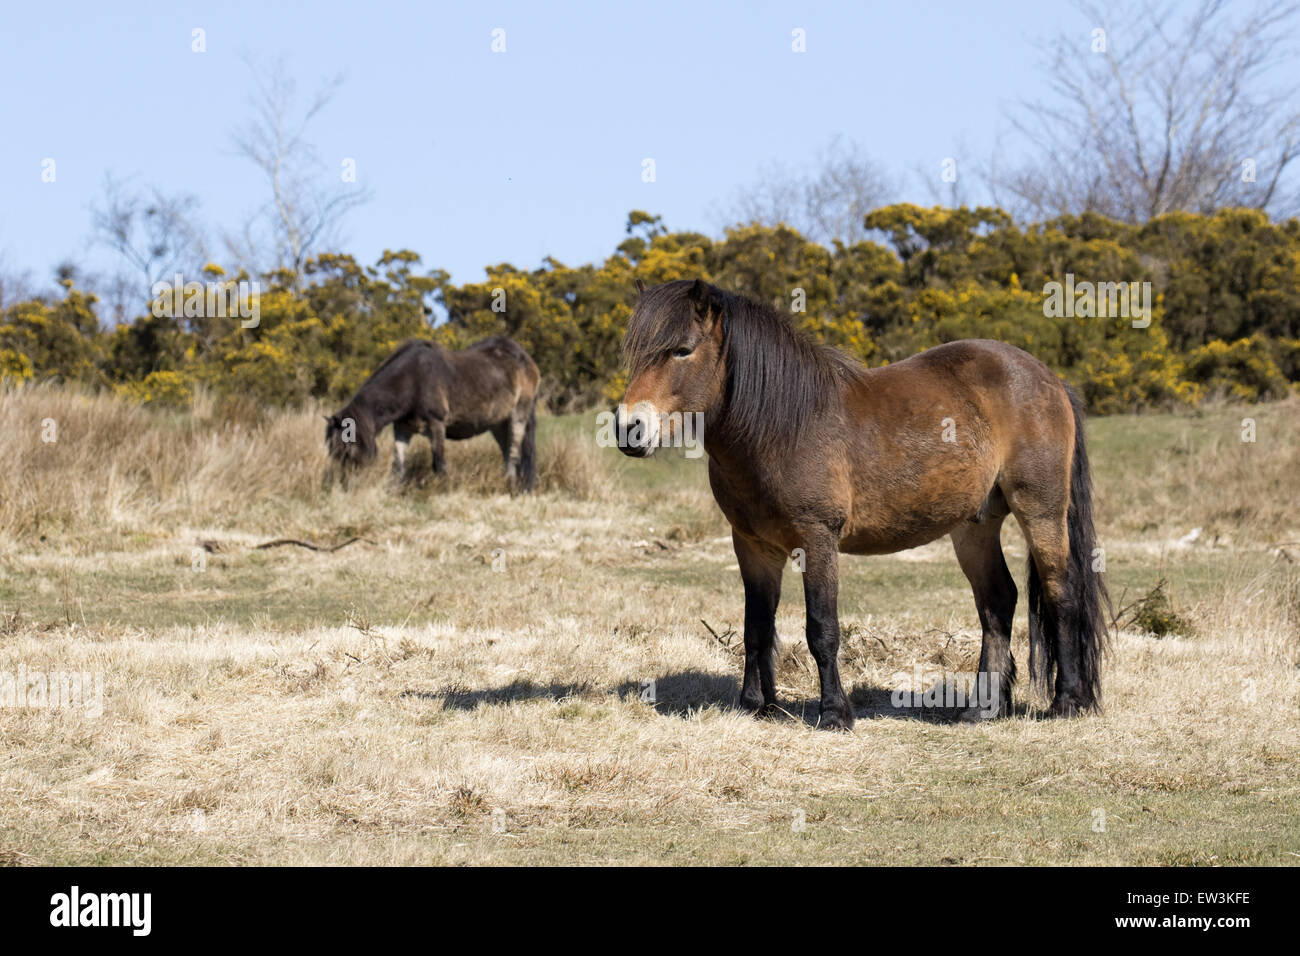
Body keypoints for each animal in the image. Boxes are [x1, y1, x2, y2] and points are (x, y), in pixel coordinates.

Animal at [332, 338, 546, 494]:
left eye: (346, 449)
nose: (341, 486)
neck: (413, 379)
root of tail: (525, 358)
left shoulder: (436, 425)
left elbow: (439, 463)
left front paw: (442, 492)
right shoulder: (403, 428)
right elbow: (398, 464)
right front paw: (393, 491)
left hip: (518, 415)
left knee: (514, 453)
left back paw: (511, 487)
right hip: (498, 424)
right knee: (508, 450)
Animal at [616, 280, 1107, 728]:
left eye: (682, 350)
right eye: (636, 352)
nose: (628, 429)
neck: (783, 426)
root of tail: (1049, 378)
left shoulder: (817, 539)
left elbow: (821, 628)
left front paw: (834, 713)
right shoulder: (753, 546)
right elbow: (757, 626)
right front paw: (755, 706)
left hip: (1040, 511)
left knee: (1061, 593)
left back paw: (1068, 702)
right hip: (974, 525)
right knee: (998, 602)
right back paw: (982, 710)